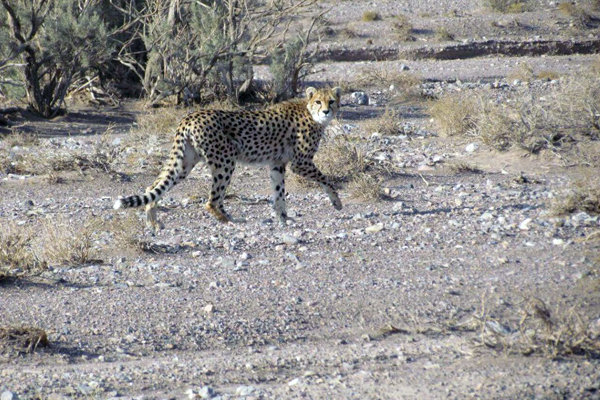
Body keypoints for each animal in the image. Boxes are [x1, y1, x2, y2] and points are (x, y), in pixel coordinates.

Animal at [113, 87, 342, 231]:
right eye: (318, 101)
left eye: (331, 101)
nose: (326, 111)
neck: (309, 112)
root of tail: (190, 116)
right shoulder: (300, 163)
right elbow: (326, 179)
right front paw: (336, 202)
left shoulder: (277, 164)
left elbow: (279, 194)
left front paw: (282, 219)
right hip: (226, 160)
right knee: (212, 200)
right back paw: (231, 220)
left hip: (185, 163)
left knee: (153, 187)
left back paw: (153, 222)